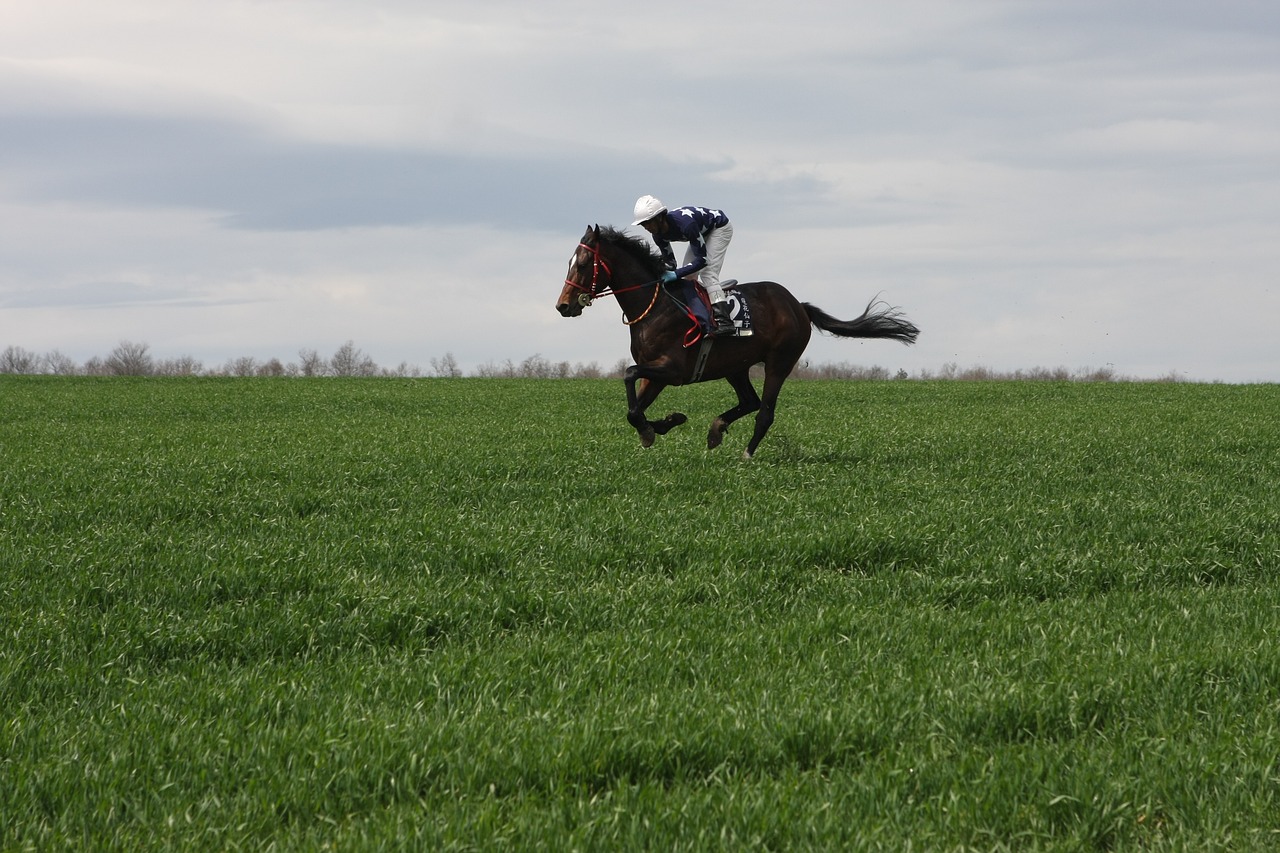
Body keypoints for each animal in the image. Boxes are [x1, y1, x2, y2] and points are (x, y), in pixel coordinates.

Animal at [555, 222, 916, 455]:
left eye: (584, 264)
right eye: (569, 262)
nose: (563, 306)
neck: (655, 305)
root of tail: (797, 304)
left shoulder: (673, 370)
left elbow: (629, 377)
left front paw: (654, 428)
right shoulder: (655, 372)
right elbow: (635, 407)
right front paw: (664, 423)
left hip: (779, 362)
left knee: (765, 412)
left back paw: (747, 454)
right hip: (735, 366)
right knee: (750, 401)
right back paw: (716, 430)